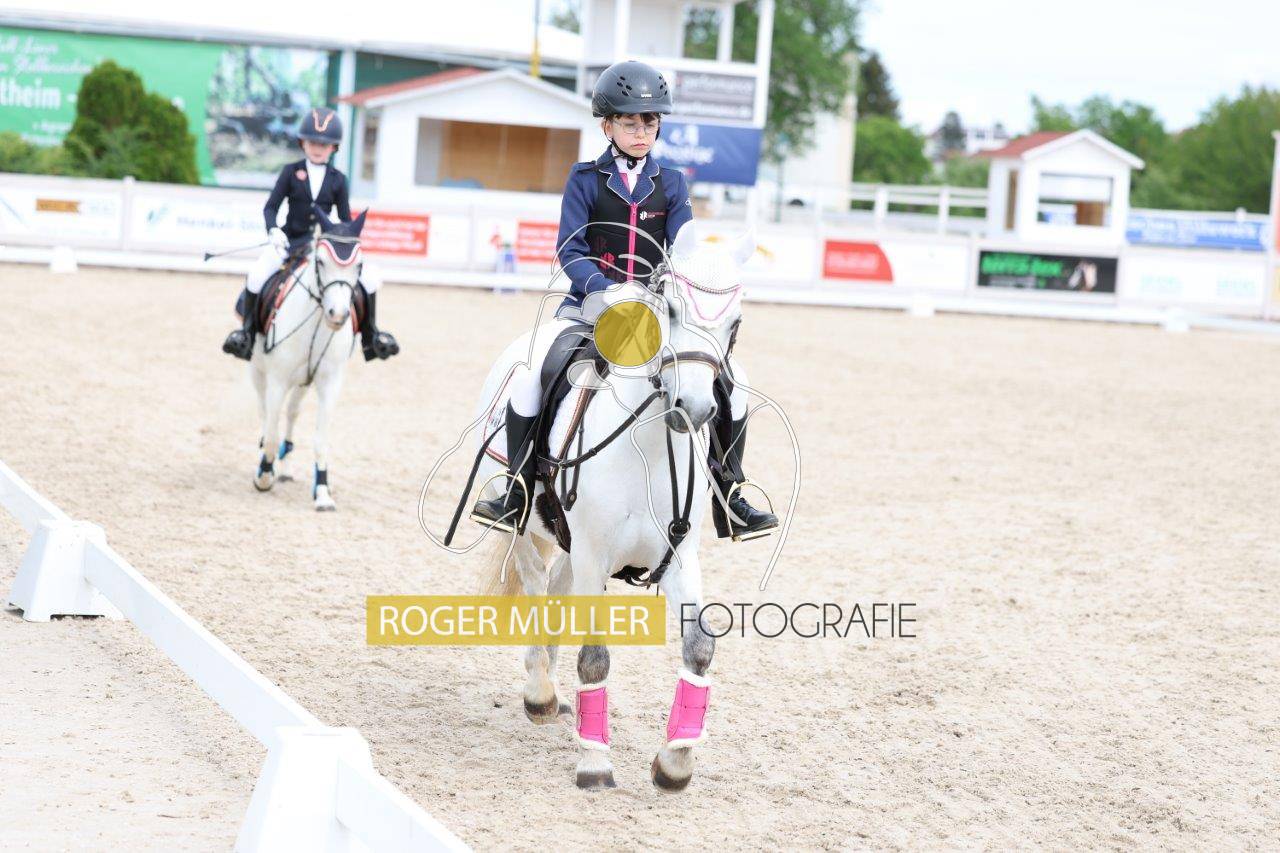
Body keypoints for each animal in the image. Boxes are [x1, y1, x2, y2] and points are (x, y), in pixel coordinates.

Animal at [248, 209, 366, 511]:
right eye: (321, 261)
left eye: (359, 265)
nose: (337, 315)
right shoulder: (277, 379)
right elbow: (270, 432)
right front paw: (263, 476)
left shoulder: (329, 383)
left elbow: (321, 440)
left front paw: (322, 492)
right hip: (259, 372)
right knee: (265, 414)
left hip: (303, 381)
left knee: (291, 413)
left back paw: (286, 467)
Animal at [471, 226, 756, 790]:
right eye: (670, 309)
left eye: (735, 323)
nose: (693, 408)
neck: (648, 449)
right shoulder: (595, 557)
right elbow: (596, 659)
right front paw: (595, 763)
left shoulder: (678, 557)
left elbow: (699, 648)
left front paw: (675, 763)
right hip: (526, 527)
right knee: (535, 583)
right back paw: (540, 692)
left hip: (569, 544)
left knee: (556, 590)